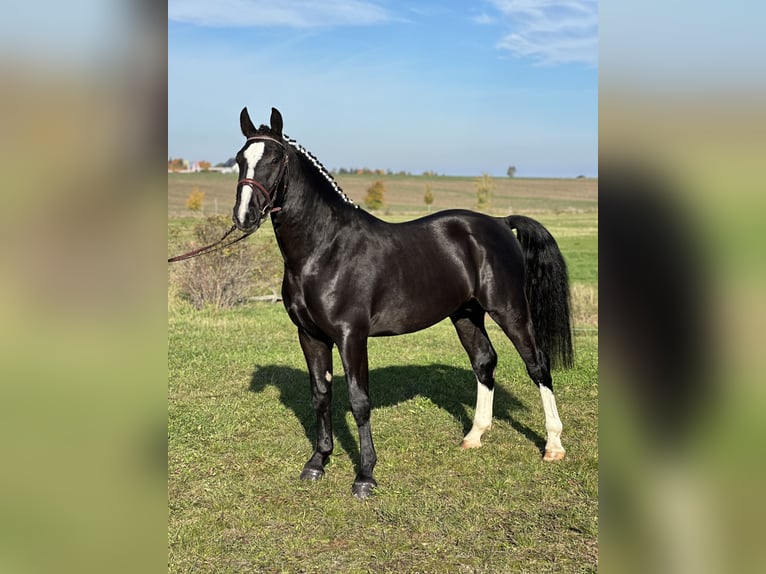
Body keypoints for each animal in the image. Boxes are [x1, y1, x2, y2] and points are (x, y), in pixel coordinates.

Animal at [234, 107, 576, 500]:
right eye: (240, 159)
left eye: (275, 160)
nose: (243, 217)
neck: (324, 249)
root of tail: (500, 223)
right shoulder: (310, 336)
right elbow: (321, 395)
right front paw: (317, 462)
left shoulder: (351, 336)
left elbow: (359, 401)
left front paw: (365, 475)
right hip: (466, 314)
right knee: (484, 362)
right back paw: (474, 436)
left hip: (509, 310)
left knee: (537, 365)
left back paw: (553, 445)